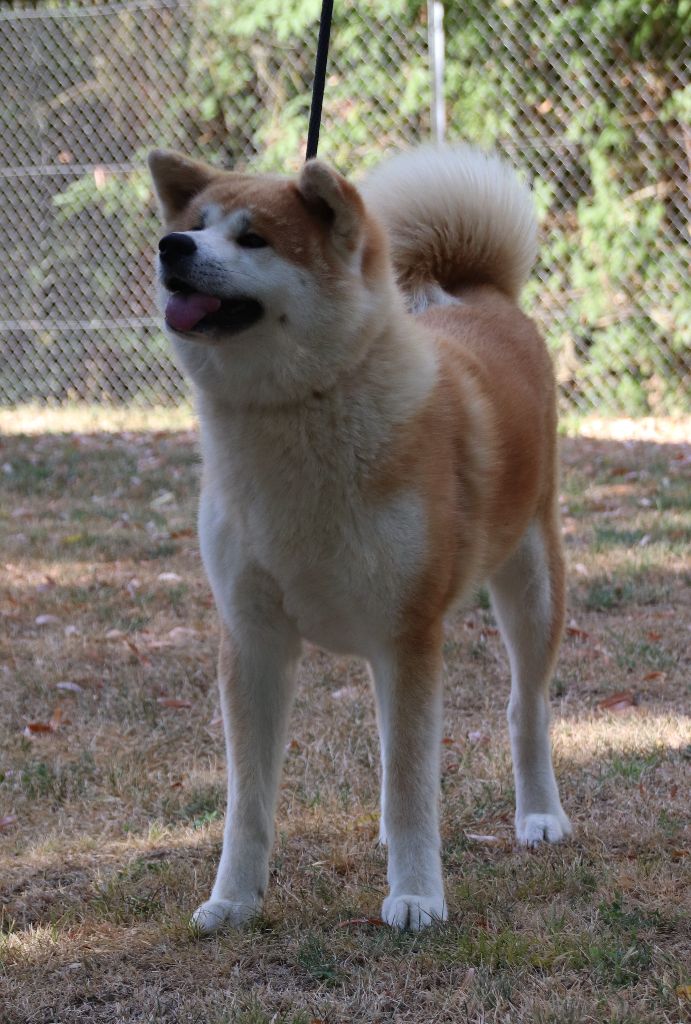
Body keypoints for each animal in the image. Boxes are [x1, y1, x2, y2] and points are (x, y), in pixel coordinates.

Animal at [147, 146, 573, 937]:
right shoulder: (252, 638)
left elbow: (412, 782)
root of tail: (479, 298)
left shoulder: (409, 634)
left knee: (523, 708)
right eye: (195, 224)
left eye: (254, 239)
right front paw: (234, 900)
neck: (295, 413)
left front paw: (416, 896)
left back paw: (539, 816)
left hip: (531, 585)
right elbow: (248, 801)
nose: (171, 247)